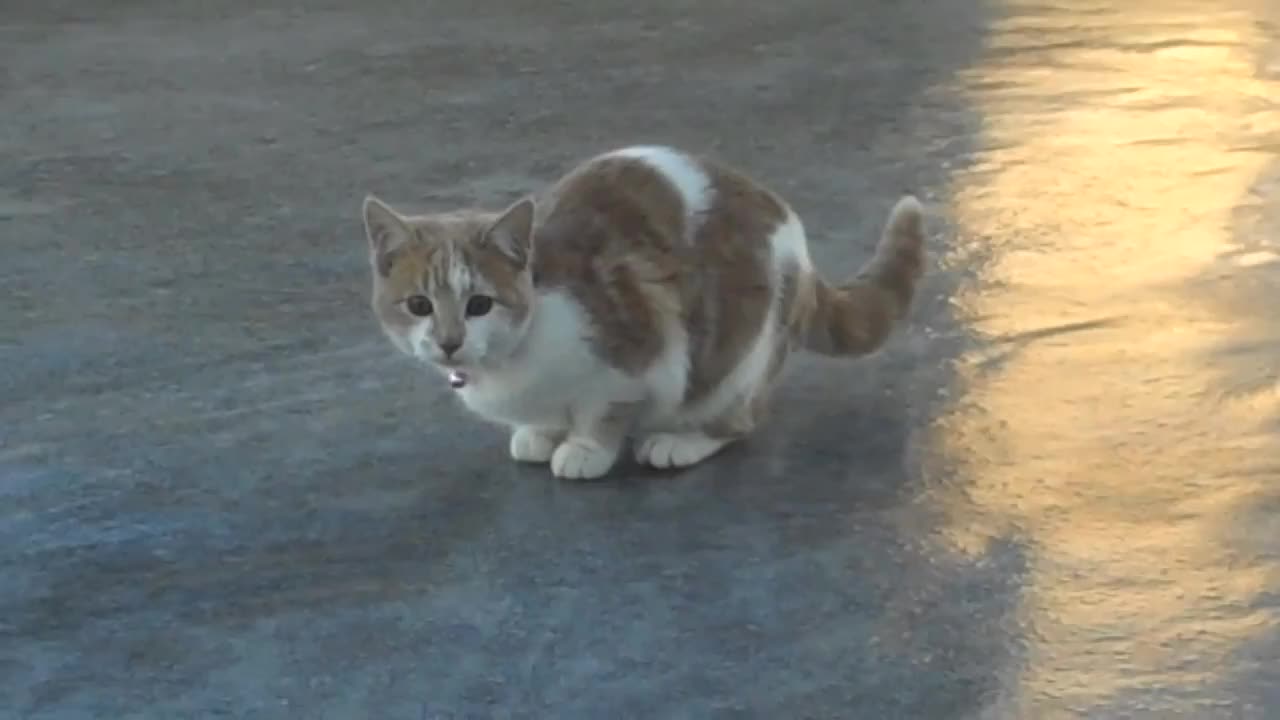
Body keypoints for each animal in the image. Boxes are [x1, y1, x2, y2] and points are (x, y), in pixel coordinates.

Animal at [360, 144, 931, 476]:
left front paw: (585, 449)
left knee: (741, 417)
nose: (449, 341)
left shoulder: (637, 353)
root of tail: (801, 247)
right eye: (419, 305)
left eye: (479, 304)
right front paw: (542, 432)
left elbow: (604, 408)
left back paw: (681, 441)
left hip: (744, 347)